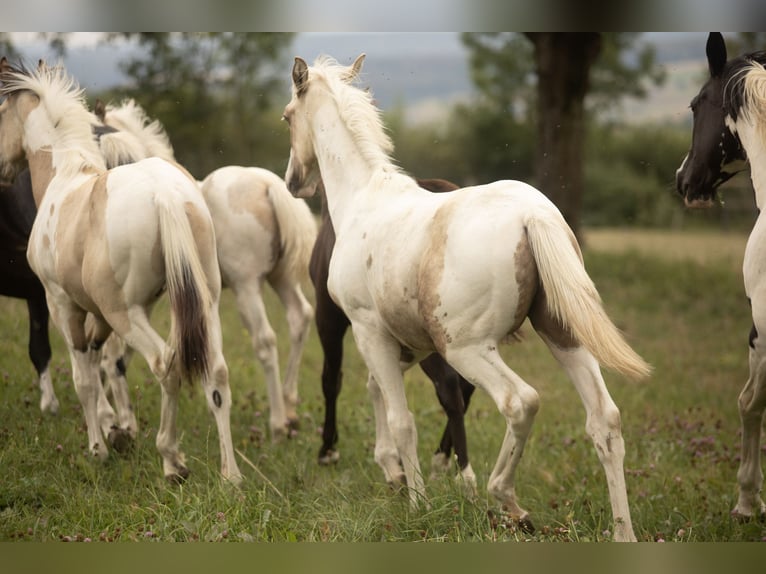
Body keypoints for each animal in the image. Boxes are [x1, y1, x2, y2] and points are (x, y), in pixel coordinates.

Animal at [0, 58, 242, 484]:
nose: (0, 169)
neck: (65, 179)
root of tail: (165, 195)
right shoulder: (96, 315)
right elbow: (102, 364)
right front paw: (115, 429)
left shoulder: (60, 303)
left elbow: (84, 378)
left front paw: (98, 447)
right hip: (204, 302)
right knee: (216, 372)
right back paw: (230, 476)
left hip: (127, 313)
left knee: (165, 364)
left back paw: (171, 460)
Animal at [97, 99, 317, 439]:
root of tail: (268, 185)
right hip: (280, 279)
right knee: (300, 317)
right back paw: (290, 408)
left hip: (247, 287)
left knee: (266, 340)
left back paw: (278, 422)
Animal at [311, 178, 478, 490]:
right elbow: (378, 385)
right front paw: (394, 463)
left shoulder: (329, 319)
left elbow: (331, 380)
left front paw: (328, 450)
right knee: (467, 388)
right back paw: (443, 461)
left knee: (450, 388)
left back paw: (450, 468)